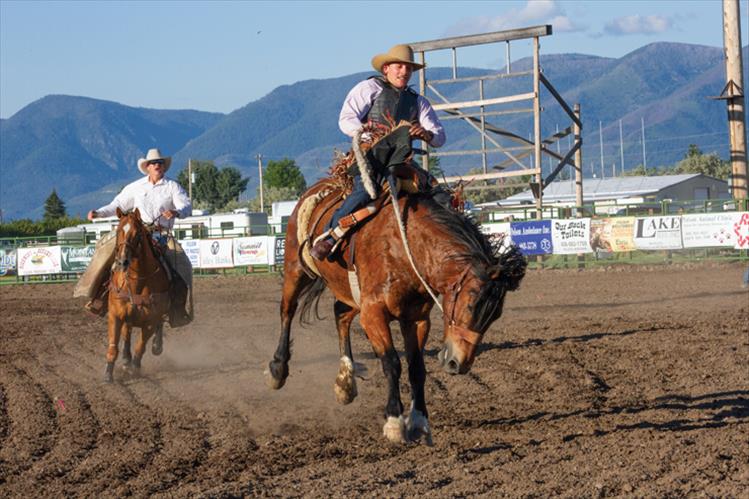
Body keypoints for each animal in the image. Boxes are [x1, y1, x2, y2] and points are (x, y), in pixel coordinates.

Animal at [104, 208, 170, 382]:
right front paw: (108, 373)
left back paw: (155, 346)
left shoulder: (150, 321)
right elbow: (113, 346)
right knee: (127, 333)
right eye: (118, 231)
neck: (136, 283)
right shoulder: (115, 315)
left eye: (137, 233)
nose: (122, 262)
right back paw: (126, 359)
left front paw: (135, 367)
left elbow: (140, 346)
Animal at [268, 176, 524, 446]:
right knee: (287, 310)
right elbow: (391, 363)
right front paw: (394, 422)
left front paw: (419, 421)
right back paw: (278, 368)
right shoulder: (373, 314)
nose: (458, 363)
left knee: (340, 313)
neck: (407, 247)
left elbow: (416, 368)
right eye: (470, 303)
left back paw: (345, 382)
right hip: (296, 268)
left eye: (496, 315)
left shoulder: (416, 319)